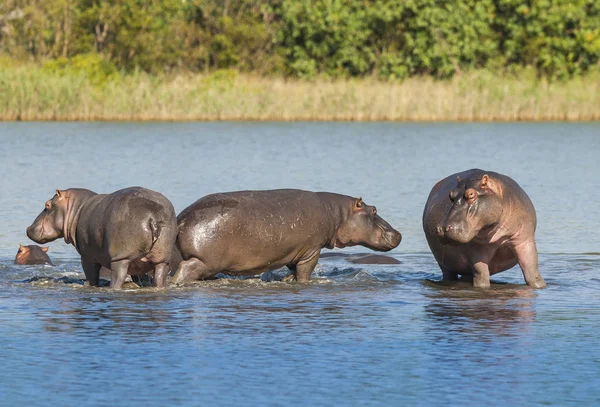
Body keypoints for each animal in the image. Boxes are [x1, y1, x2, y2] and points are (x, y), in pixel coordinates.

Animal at [26, 188, 176, 290]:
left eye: (48, 205)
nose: (28, 228)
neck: (76, 208)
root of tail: (153, 216)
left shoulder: (87, 256)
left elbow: (91, 275)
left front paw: (89, 285)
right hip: (162, 259)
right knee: (159, 276)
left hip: (121, 258)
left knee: (118, 277)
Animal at [171, 188, 400, 284]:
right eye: (374, 210)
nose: (398, 233)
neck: (337, 214)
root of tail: (181, 219)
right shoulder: (311, 250)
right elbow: (305, 271)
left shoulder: (294, 252)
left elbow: (292, 269)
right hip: (205, 262)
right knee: (185, 270)